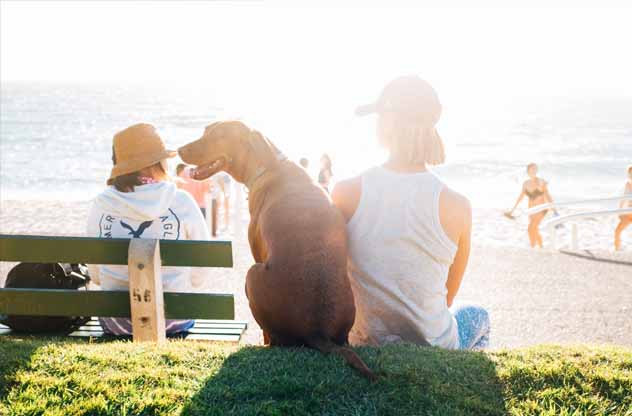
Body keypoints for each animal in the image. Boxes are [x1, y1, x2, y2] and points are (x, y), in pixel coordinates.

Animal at [178, 120, 376, 380]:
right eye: (205, 132)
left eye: (218, 136)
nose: (179, 150)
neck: (268, 164)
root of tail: (317, 331)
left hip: (252, 275)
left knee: (273, 337)